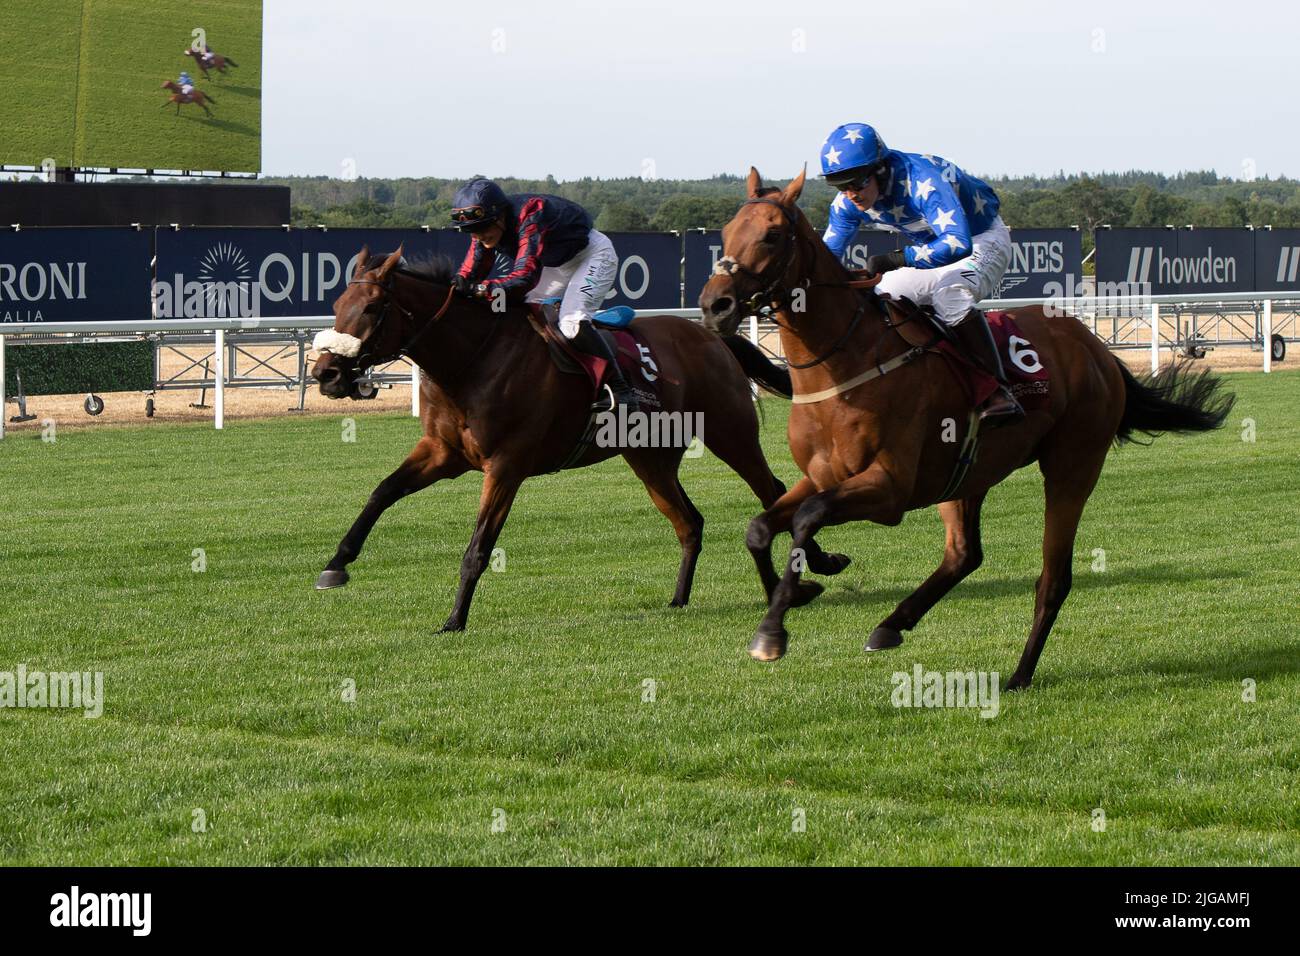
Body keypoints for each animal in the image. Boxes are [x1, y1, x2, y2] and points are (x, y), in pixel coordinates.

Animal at [309, 246, 838, 633]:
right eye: (336, 306)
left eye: (372, 307)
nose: (327, 374)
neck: (473, 358)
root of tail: (710, 336)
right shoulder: (441, 454)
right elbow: (381, 493)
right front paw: (336, 564)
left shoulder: (506, 466)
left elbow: (478, 547)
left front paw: (454, 620)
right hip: (649, 458)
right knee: (690, 522)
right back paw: (679, 598)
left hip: (729, 432)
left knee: (770, 489)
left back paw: (812, 569)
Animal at [698, 167, 1234, 689]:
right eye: (724, 233)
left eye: (772, 234)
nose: (714, 305)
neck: (845, 366)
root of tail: (1094, 348)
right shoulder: (823, 476)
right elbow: (760, 527)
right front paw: (806, 581)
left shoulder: (889, 490)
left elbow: (808, 517)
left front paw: (772, 631)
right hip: (965, 473)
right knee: (964, 554)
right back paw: (892, 624)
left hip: (1072, 466)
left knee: (1053, 577)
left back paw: (1019, 674)